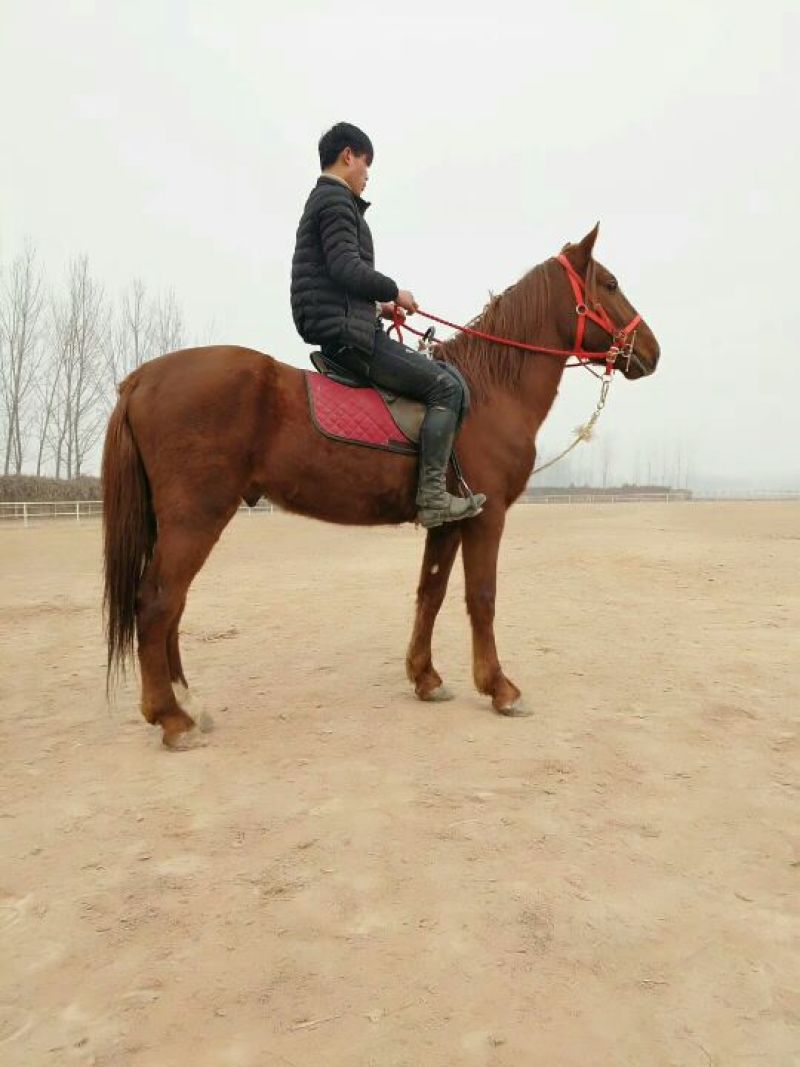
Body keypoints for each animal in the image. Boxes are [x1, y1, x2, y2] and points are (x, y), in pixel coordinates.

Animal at [102, 224, 660, 748]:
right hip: (196, 517)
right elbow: (481, 596)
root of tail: (143, 377)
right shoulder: (488, 516)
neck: (487, 392)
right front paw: (500, 688)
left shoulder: (449, 520)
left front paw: (426, 677)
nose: (652, 351)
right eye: (610, 283)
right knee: (158, 603)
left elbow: (431, 592)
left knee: (171, 605)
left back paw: (189, 703)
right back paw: (171, 718)